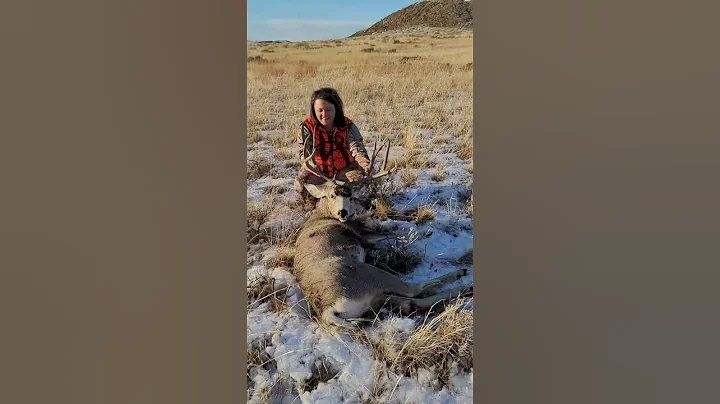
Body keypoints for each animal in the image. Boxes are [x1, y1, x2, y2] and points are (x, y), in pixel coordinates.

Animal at [292, 139, 470, 328]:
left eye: (352, 196)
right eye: (332, 195)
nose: (343, 212)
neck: (324, 215)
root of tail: (327, 310)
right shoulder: (362, 236)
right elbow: (392, 234)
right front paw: (424, 233)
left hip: (374, 297)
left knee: (409, 302)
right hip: (367, 275)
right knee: (414, 290)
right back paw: (462, 278)